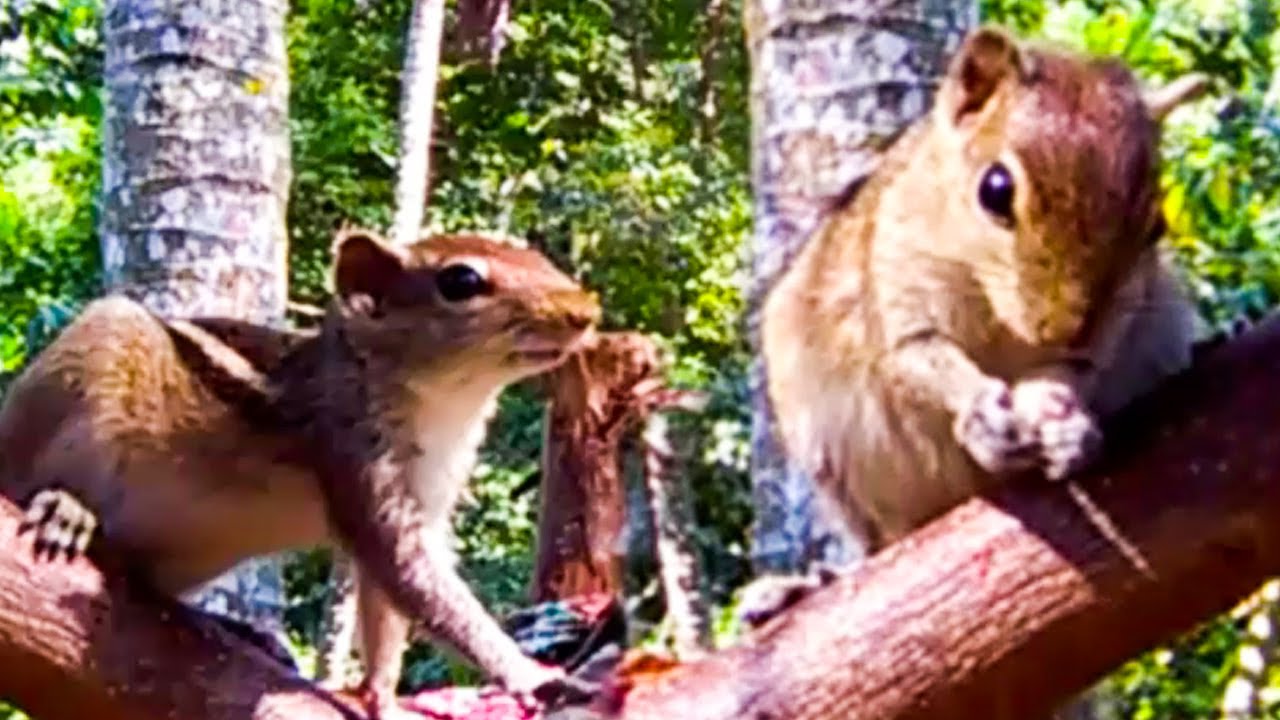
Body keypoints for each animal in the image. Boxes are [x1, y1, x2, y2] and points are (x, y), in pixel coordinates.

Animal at [0, 228, 601, 719]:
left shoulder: (426, 496)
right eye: (461, 280)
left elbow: (386, 609)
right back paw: (66, 508)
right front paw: (533, 675)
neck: (447, 404)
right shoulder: (357, 460)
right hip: (98, 351)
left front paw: (380, 695)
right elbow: (418, 583)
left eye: (536, 254)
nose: (586, 311)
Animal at [746, 27, 1210, 621]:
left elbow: (1077, 372)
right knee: (880, 543)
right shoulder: (898, 281)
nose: (1065, 330)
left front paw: (1064, 420)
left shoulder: (1110, 330)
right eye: (994, 189)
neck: (999, 319)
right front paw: (983, 416)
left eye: (1157, 225)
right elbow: (918, 355)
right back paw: (802, 588)